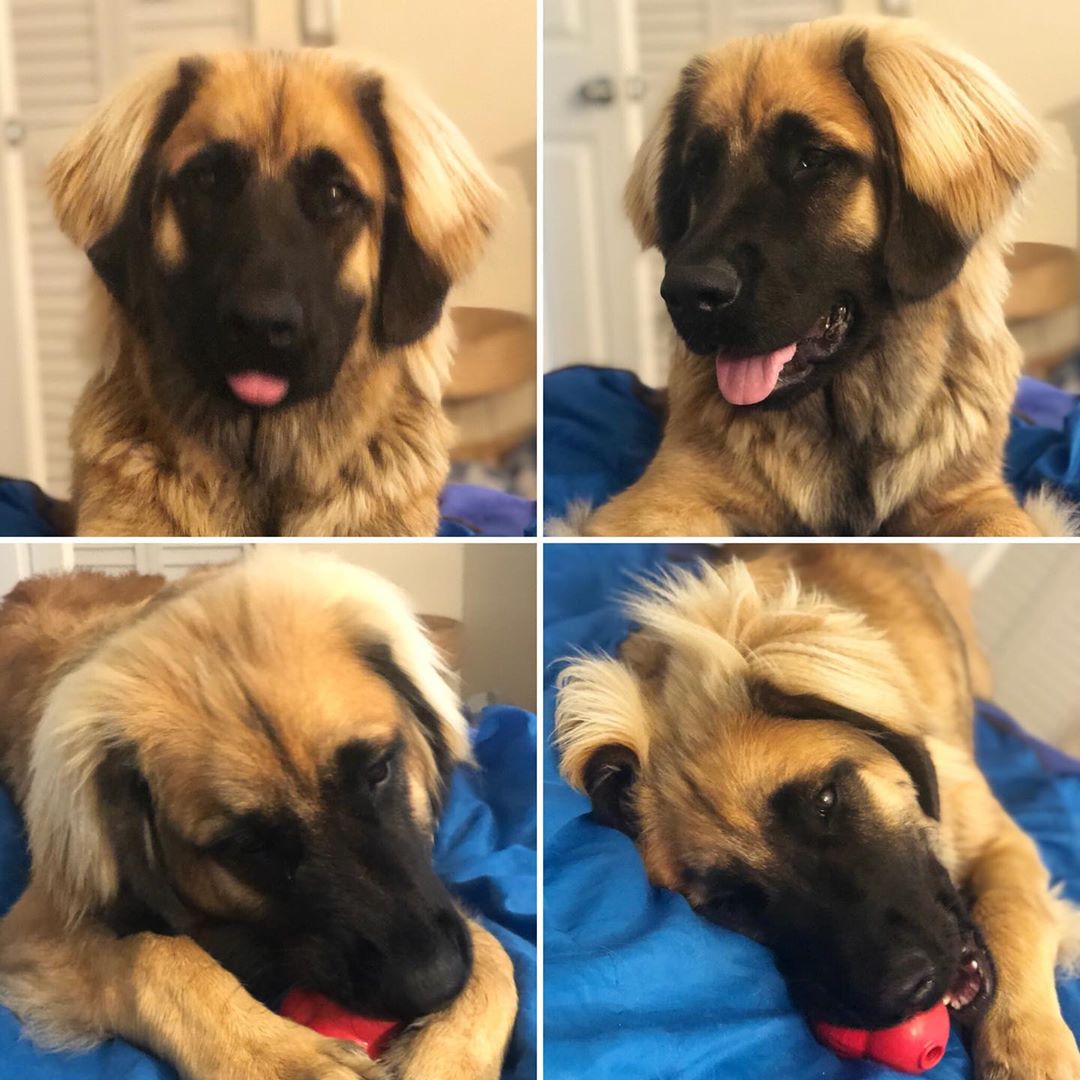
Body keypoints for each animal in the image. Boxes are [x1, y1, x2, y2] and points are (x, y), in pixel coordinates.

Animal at [0, 552, 518, 1075]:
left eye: (377, 770)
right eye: (248, 846)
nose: (433, 983)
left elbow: (497, 954)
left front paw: (447, 1058)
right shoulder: (37, 925)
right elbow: (152, 952)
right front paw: (280, 1057)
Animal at [557, 548, 1080, 1080]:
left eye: (826, 800)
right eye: (731, 902)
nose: (909, 992)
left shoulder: (999, 835)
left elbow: (1013, 911)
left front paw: (1028, 1046)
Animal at [578, 17, 1075, 535]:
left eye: (811, 159)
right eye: (699, 169)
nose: (687, 292)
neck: (847, 416)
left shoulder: (974, 496)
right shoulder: (665, 495)